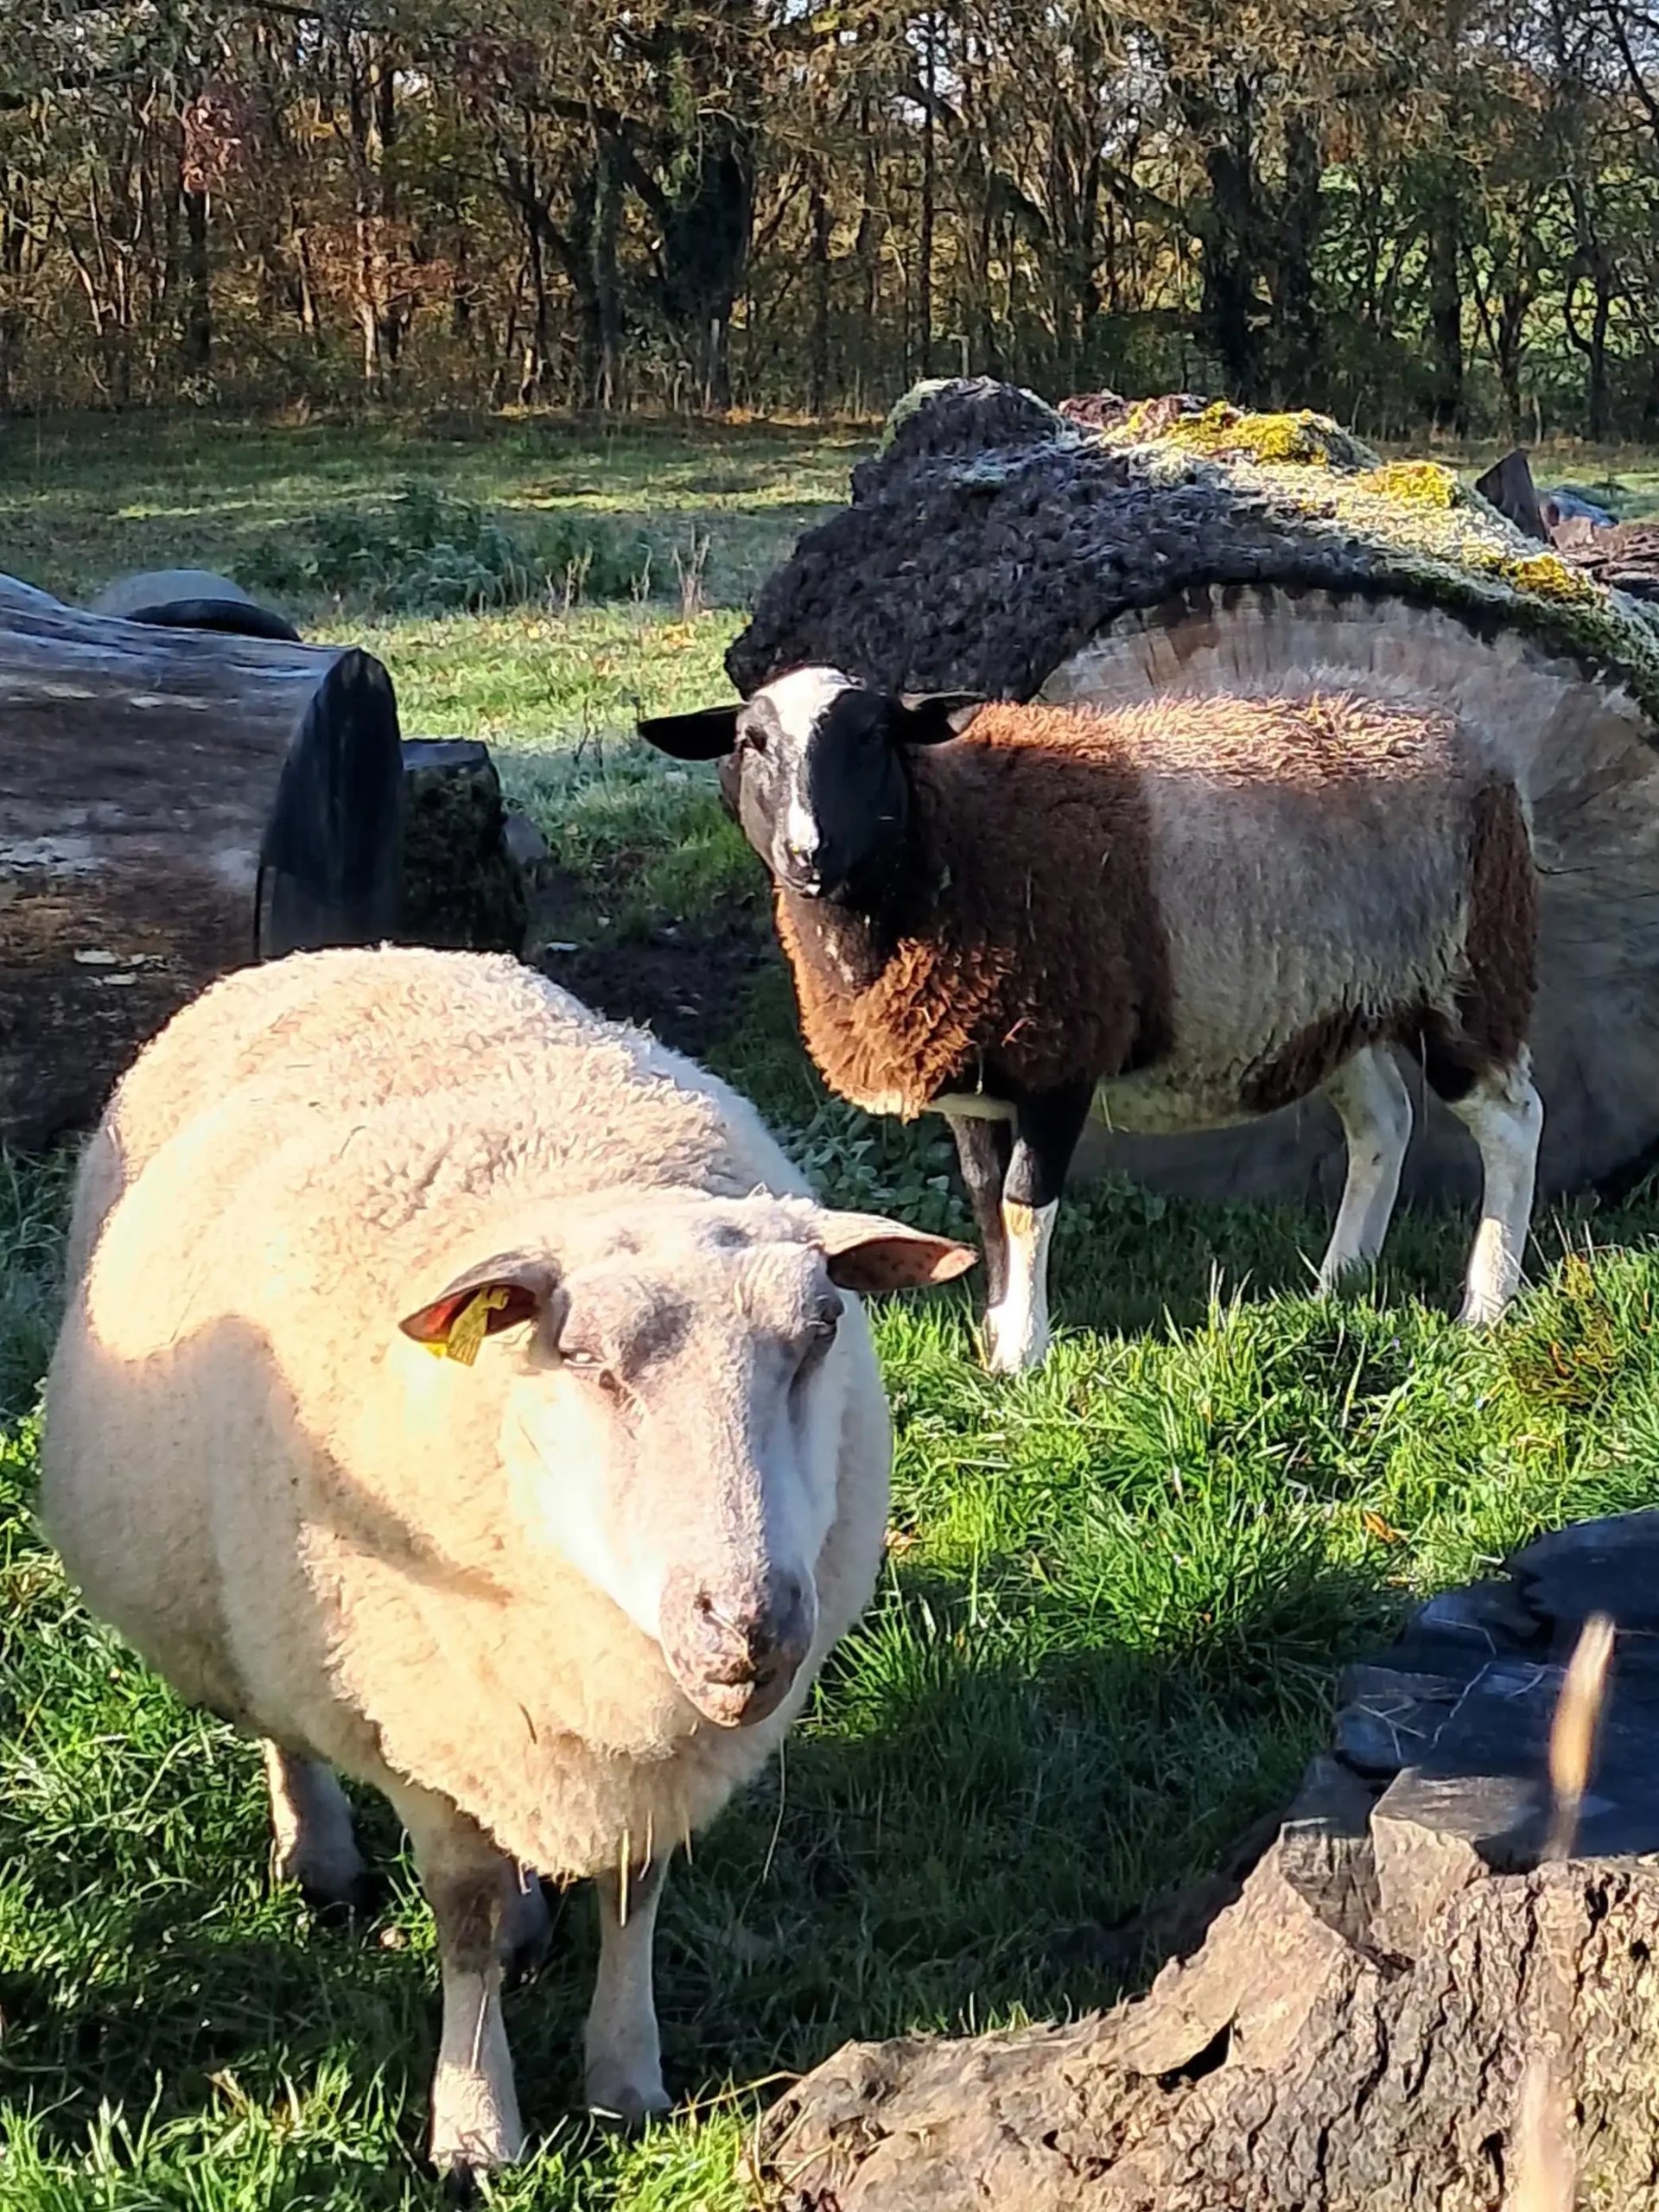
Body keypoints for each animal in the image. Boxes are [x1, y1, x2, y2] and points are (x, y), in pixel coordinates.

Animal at [41, 944, 974, 2181]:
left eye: (821, 1332)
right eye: (582, 1358)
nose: (749, 1622)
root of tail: (348, 951)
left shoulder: (629, 1747)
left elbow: (635, 1887)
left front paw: (626, 2080)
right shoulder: (427, 1718)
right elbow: (468, 1912)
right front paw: (477, 2126)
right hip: (267, 1610)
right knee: (285, 1729)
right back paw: (321, 1858)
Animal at [639, 667, 1542, 1372]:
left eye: (873, 736)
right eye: (751, 742)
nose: (808, 854)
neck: (950, 839)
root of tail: (1471, 737)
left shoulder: (1058, 1060)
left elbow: (1024, 1203)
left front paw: (1023, 1354)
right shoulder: (970, 1073)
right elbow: (983, 1203)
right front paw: (997, 1335)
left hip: (1465, 973)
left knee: (1511, 1121)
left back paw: (1485, 1305)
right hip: (1336, 1002)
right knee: (1382, 1122)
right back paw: (1339, 1282)